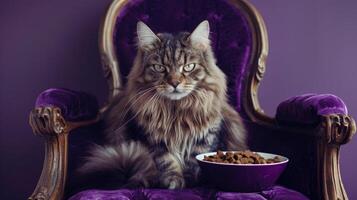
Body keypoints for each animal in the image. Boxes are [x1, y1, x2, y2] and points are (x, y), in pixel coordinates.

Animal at [80, 19, 248, 189]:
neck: (176, 111)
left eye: (188, 67)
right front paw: (173, 181)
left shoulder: (207, 136)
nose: (174, 83)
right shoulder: (151, 139)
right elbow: (166, 161)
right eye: (159, 68)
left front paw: (190, 181)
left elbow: (194, 159)